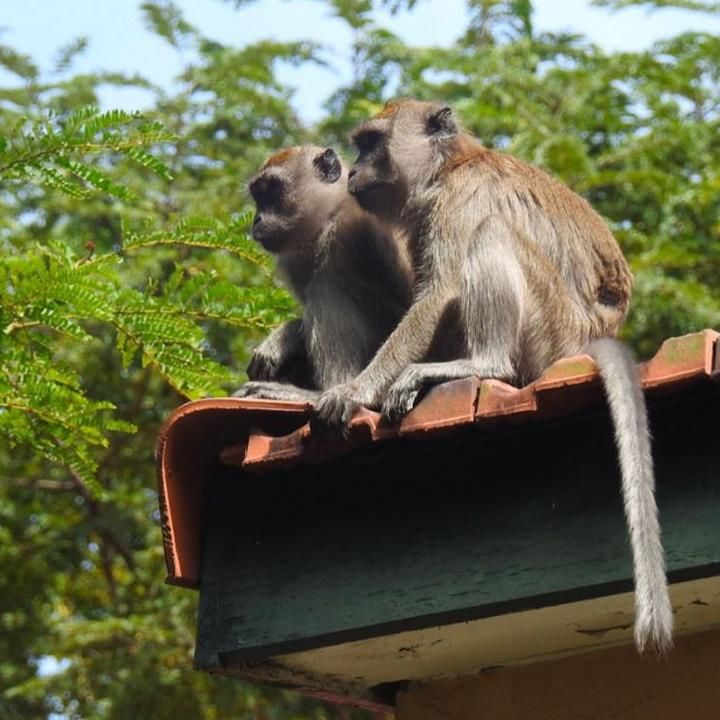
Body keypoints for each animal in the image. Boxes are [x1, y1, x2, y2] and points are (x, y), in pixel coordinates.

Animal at [233, 145, 414, 404]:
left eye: (273, 190)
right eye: (258, 196)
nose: (257, 219)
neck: (331, 212)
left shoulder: (357, 224)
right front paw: (285, 335)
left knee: (327, 284)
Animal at [318, 98, 672, 656]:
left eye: (372, 144)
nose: (353, 171)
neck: (452, 165)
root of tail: (590, 339)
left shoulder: (458, 201)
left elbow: (439, 292)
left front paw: (352, 391)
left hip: (550, 331)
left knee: (492, 233)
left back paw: (482, 365)